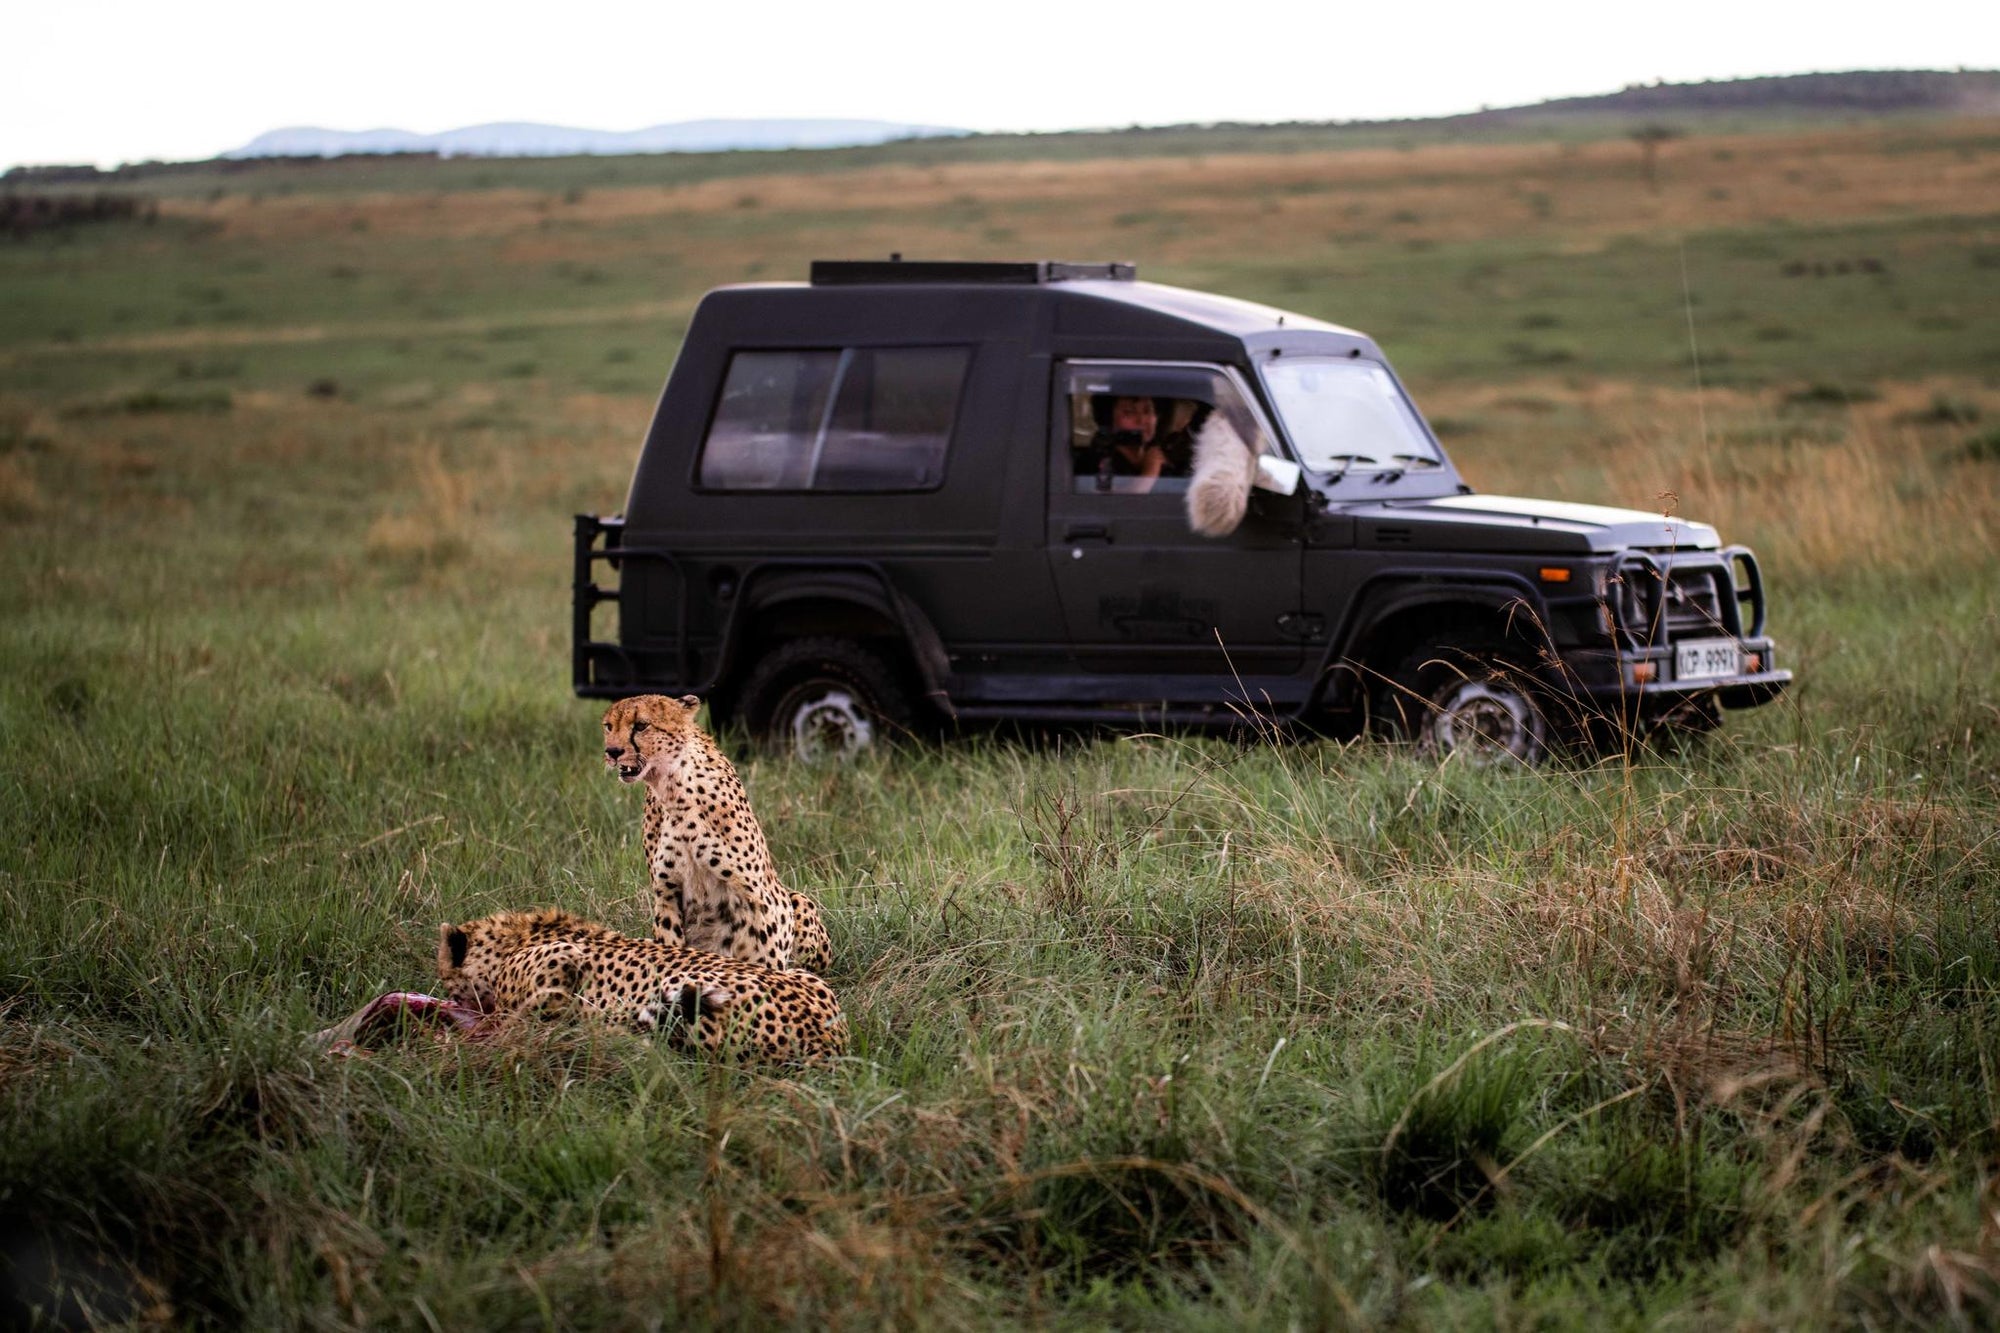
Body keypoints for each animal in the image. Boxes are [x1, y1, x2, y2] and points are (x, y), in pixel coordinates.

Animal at [436, 908, 847, 1063]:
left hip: (691, 998)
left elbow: (519, 1023)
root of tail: (827, 1041)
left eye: (449, 984)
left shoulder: (560, 958)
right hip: (807, 977)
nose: (455, 1003)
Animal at [601, 693, 832, 973]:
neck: (673, 791)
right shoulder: (666, 893)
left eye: (641, 725)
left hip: (797, 900)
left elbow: (763, 948)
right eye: (608, 727)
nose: (612, 752)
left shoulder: (758, 897)